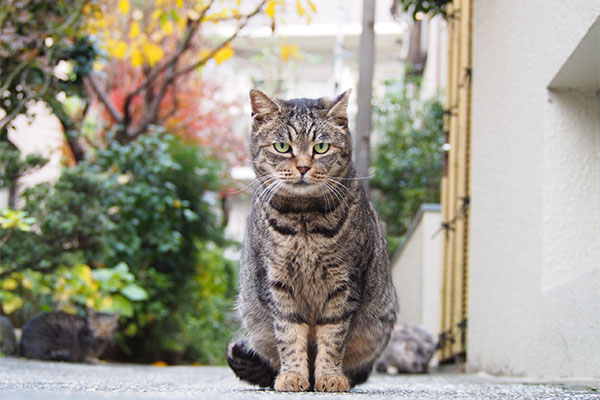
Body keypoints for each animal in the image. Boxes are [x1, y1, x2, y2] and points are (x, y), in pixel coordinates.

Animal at [226, 89, 398, 392]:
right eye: (282, 146)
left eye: (321, 148)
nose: (304, 167)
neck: (304, 218)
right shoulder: (277, 282)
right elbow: (289, 334)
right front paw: (293, 375)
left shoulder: (345, 283)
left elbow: (333, 337)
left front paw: (330, 376)